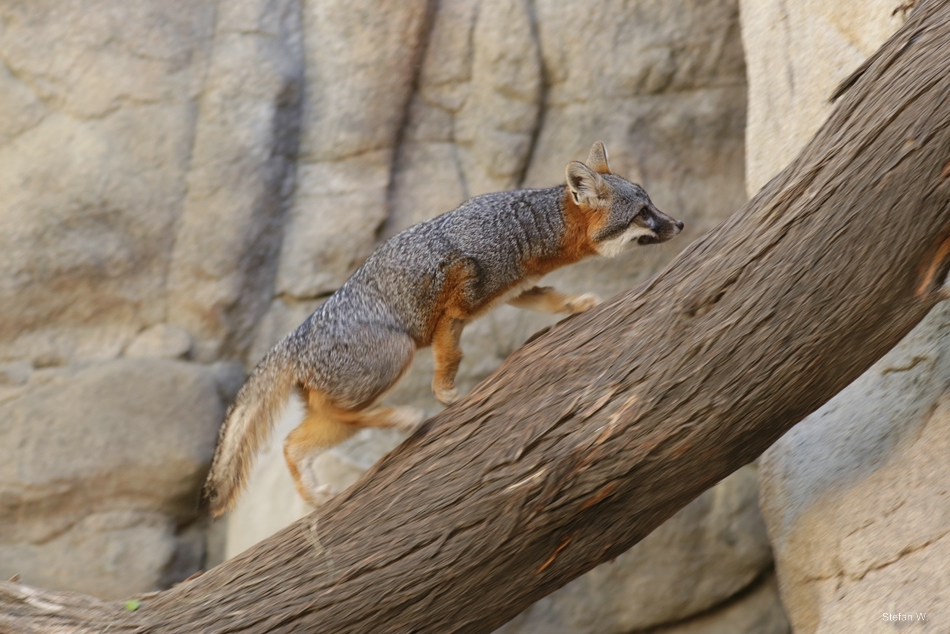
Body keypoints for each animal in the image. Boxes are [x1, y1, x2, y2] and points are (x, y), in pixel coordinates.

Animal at [202, 141, 683, 516]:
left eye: (652, 204)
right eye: (644, 213)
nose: (679, 223)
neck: (525, 228)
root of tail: (294, 338)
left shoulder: (514, 290)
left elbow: (551, 299)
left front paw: (578, 304)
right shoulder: (455, 297)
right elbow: (451, 354)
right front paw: (448, 395)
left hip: (343, 400)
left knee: (293, 443)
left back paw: (317, 493)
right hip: (394, 354)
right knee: (339, 414)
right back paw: (403, 417)